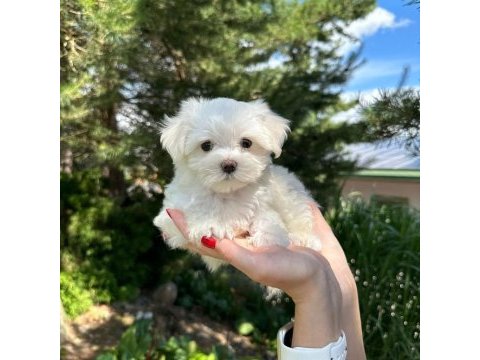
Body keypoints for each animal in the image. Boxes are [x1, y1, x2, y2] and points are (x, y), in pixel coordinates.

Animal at [153, 97, 322, 272]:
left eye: (246, 143)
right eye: (206, 145)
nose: (228, 165)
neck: (227, 192)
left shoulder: (264, 202)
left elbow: (268, 217)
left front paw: (268, 235)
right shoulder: (169, 216)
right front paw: (210, 222)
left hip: (291, 196)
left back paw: (305, 239)